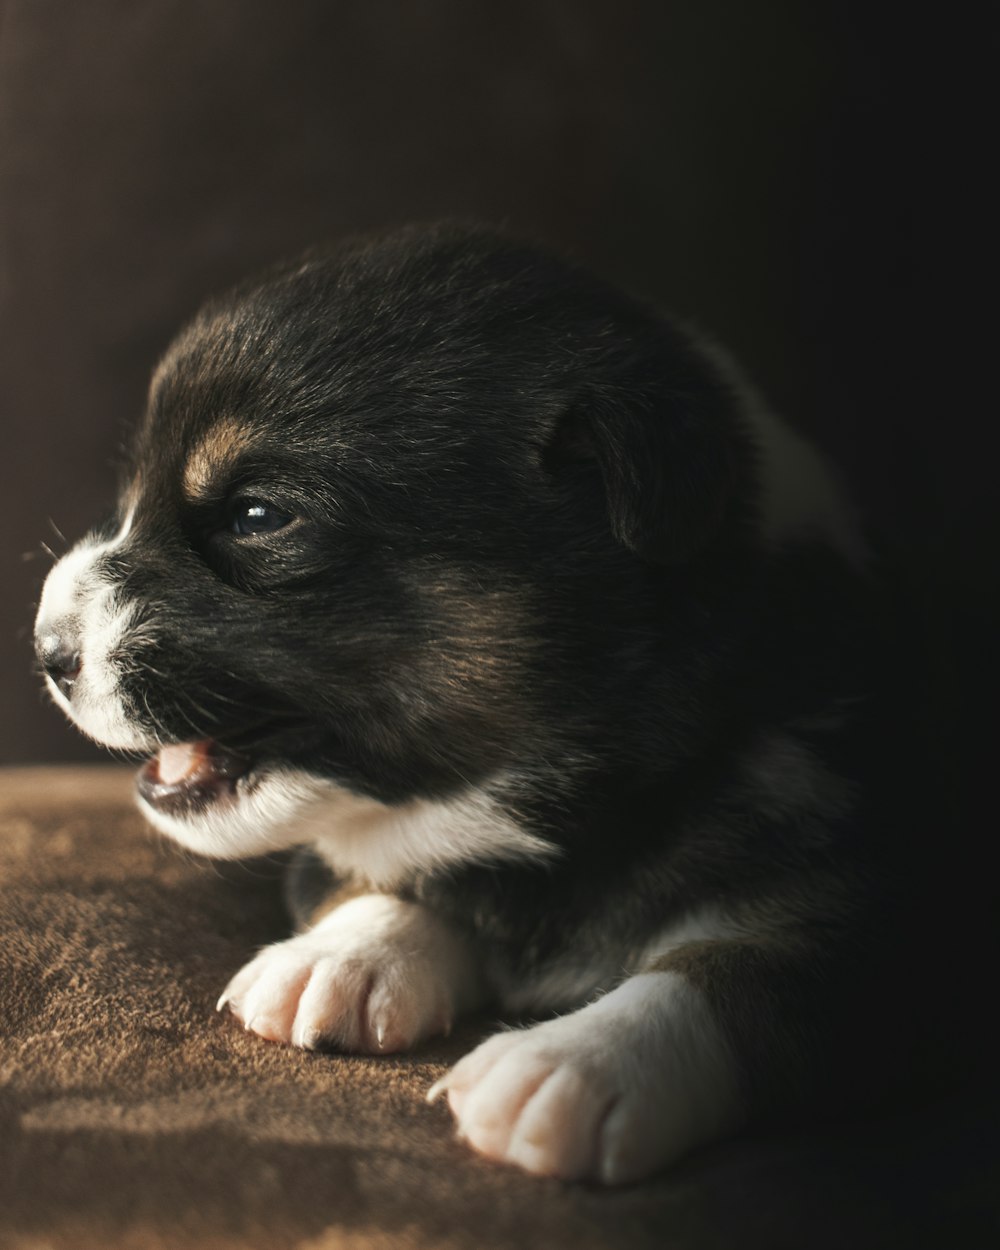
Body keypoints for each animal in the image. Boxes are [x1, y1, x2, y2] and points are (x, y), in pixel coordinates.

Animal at [33, 222, 875, 1180]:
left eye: (257, 517)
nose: (45, 650)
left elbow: (750, 967)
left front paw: (571, 1065)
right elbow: (393, 869)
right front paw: (339, 956)